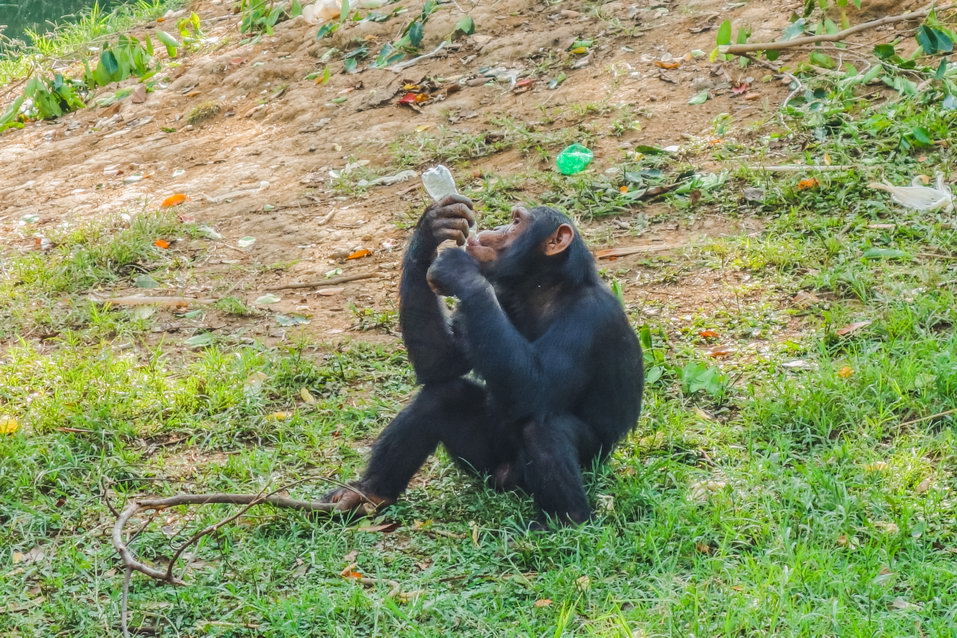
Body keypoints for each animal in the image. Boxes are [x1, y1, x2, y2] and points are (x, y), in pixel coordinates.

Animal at [322, 198, 644, 528]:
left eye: (516, 222)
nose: (498, 227)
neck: (543, 289)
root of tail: (504, 479)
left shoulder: (589, 318)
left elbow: (536, 387)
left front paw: (460, 270)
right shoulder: (498, 296)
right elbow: (441, 364)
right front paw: (434, 226)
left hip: (580, 466)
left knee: (543, 428)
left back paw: (566, 520)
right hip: (483, 465)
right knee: (441, 396)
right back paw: (369, 492)